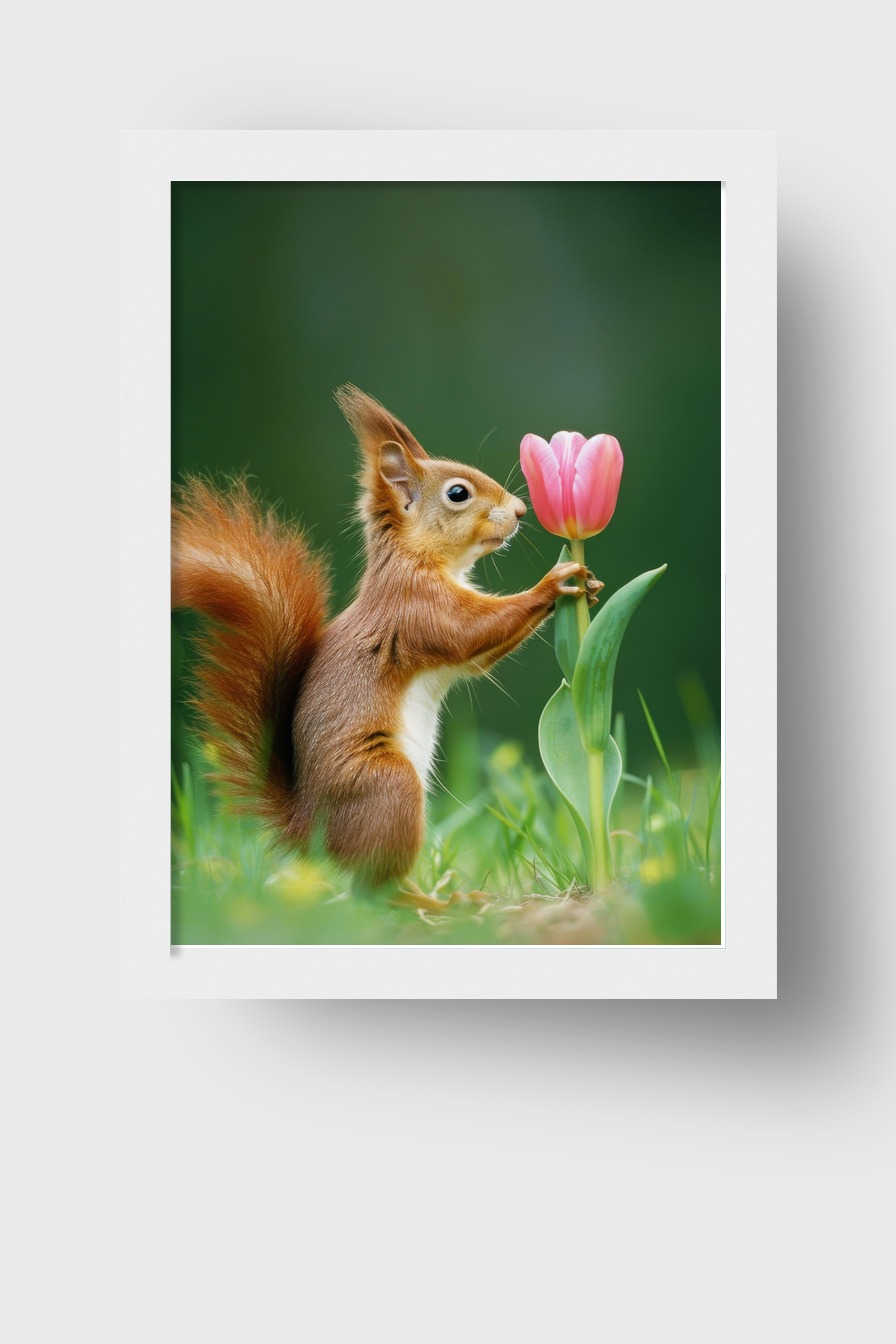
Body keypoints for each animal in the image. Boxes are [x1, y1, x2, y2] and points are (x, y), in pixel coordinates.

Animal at [172, 385, 601, 902]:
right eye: (458, 493)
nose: (519, 510)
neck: (415, 560)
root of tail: (312, 834)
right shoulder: (416, 609)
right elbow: (469, 630)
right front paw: (554, 583)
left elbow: (477, 655)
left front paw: (588, 587)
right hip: (389, 786)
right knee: (375, 891)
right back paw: (440, 904)